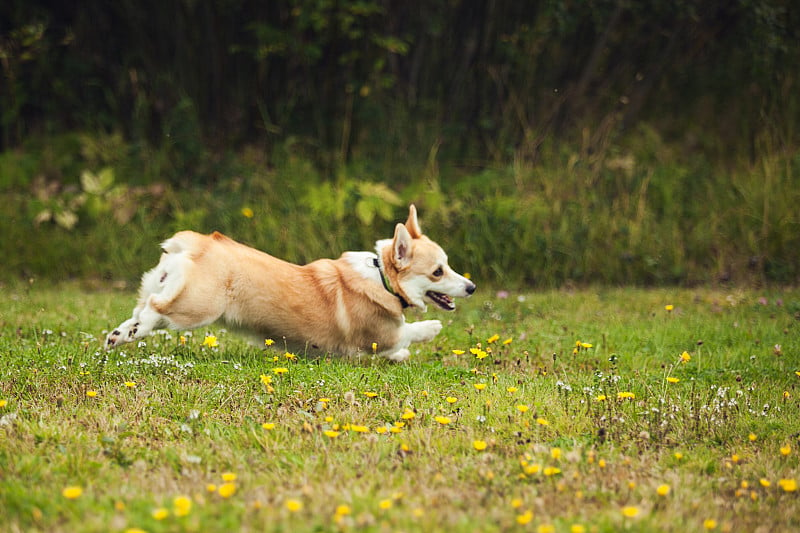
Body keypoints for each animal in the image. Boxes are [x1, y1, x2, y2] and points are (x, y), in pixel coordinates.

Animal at [103, 204, 472, 362]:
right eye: (438, 271)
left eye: (448, 265)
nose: (471, 288)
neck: (383, 278)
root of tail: (198, 243)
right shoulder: (379, 336)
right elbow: (408, 333)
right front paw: (431, 328)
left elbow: (399, 350)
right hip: (198, 308)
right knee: (155, 310)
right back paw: (135, 331)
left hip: (163, 286)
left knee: (139, 308)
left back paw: (120, 334)